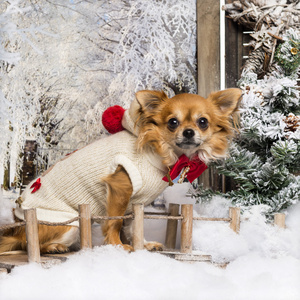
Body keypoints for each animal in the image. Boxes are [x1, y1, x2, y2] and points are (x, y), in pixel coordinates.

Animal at [0, 88, 241, 253]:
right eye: (173, 122)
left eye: (203, 122)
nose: (189, 132)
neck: (159, 150)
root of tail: (19, 226)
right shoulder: (120, 186)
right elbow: (115, 222)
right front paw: (118, 246)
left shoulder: (136, 201)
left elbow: (134, 224)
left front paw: (143, 244)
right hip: (68, 224)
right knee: (29, 244)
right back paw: (54, 247)